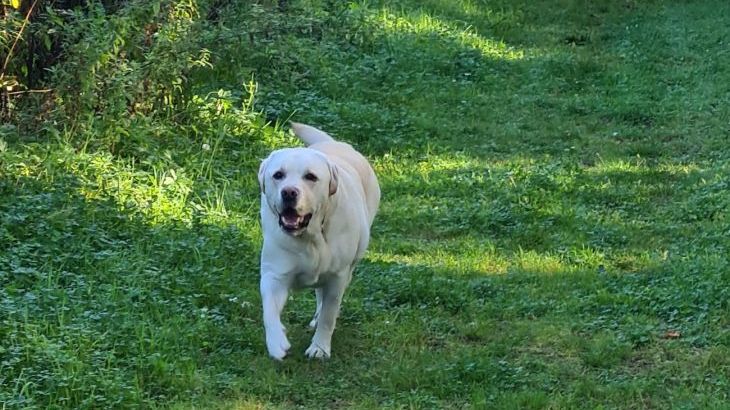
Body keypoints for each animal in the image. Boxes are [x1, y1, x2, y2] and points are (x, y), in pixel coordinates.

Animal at [258, 122, 382, 358]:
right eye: (278, 175)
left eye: (311, 177)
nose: (289, 192)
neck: (311, 237)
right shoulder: (274, 274)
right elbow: (269, 308)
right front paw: (276, 341)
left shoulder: (337, 277)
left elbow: (329, 314)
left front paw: (320, 348)